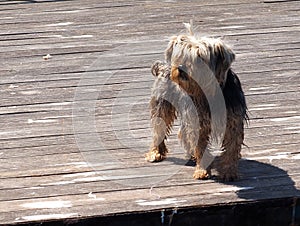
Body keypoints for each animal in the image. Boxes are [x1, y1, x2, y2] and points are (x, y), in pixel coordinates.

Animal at [144, 22, 247, 182]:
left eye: (199, 58)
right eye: (182, 55)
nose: (180, 68)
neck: (208, 91)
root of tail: (165, 66)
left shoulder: (233, 122)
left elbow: (231, 148)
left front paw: (229, 171)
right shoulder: (199, 123)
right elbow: (201, 146)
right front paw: (202, 170)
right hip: (163, 104)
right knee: (159, 128)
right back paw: (155, 152)